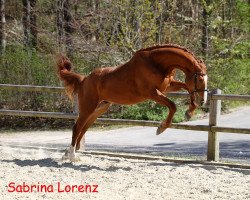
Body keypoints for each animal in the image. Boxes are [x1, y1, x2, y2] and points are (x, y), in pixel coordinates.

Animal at [57, 44, 207, 162]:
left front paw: (189, 112)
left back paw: (71, 152)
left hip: (99, 109)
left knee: (84, 128)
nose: (203, 101)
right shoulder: (153, 93)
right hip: (88, 108)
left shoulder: (168, 86)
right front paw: (161, 128)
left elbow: (187, 88)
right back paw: (72, 156)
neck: (156, 63)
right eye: (200, 79)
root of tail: (84, 80)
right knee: (77, 127)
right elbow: (173, 105)